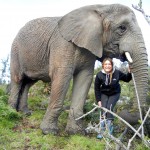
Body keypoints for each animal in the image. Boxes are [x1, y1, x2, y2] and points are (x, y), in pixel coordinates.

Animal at [8, 3, 148, 135]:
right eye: (122, 28)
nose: (124, 113)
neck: (101, 7)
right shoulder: (63, 45)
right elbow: (62, 77)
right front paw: (49, 131)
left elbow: (84, 79)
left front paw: (76, 132)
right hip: (15, 50)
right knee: (18, 79)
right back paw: (12, 112)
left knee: (28, 83)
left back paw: (25, 112)